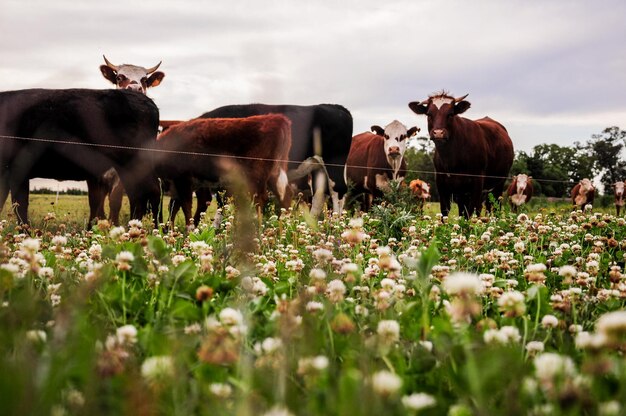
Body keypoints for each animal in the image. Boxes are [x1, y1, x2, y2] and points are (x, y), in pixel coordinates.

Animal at [156, 114, 292, 226]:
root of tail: (276, 118)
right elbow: (173, 208)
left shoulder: (182, 179)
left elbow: (186, 206)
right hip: (275, 173)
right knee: (285, 197)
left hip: (255, 175)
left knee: (260, 198)